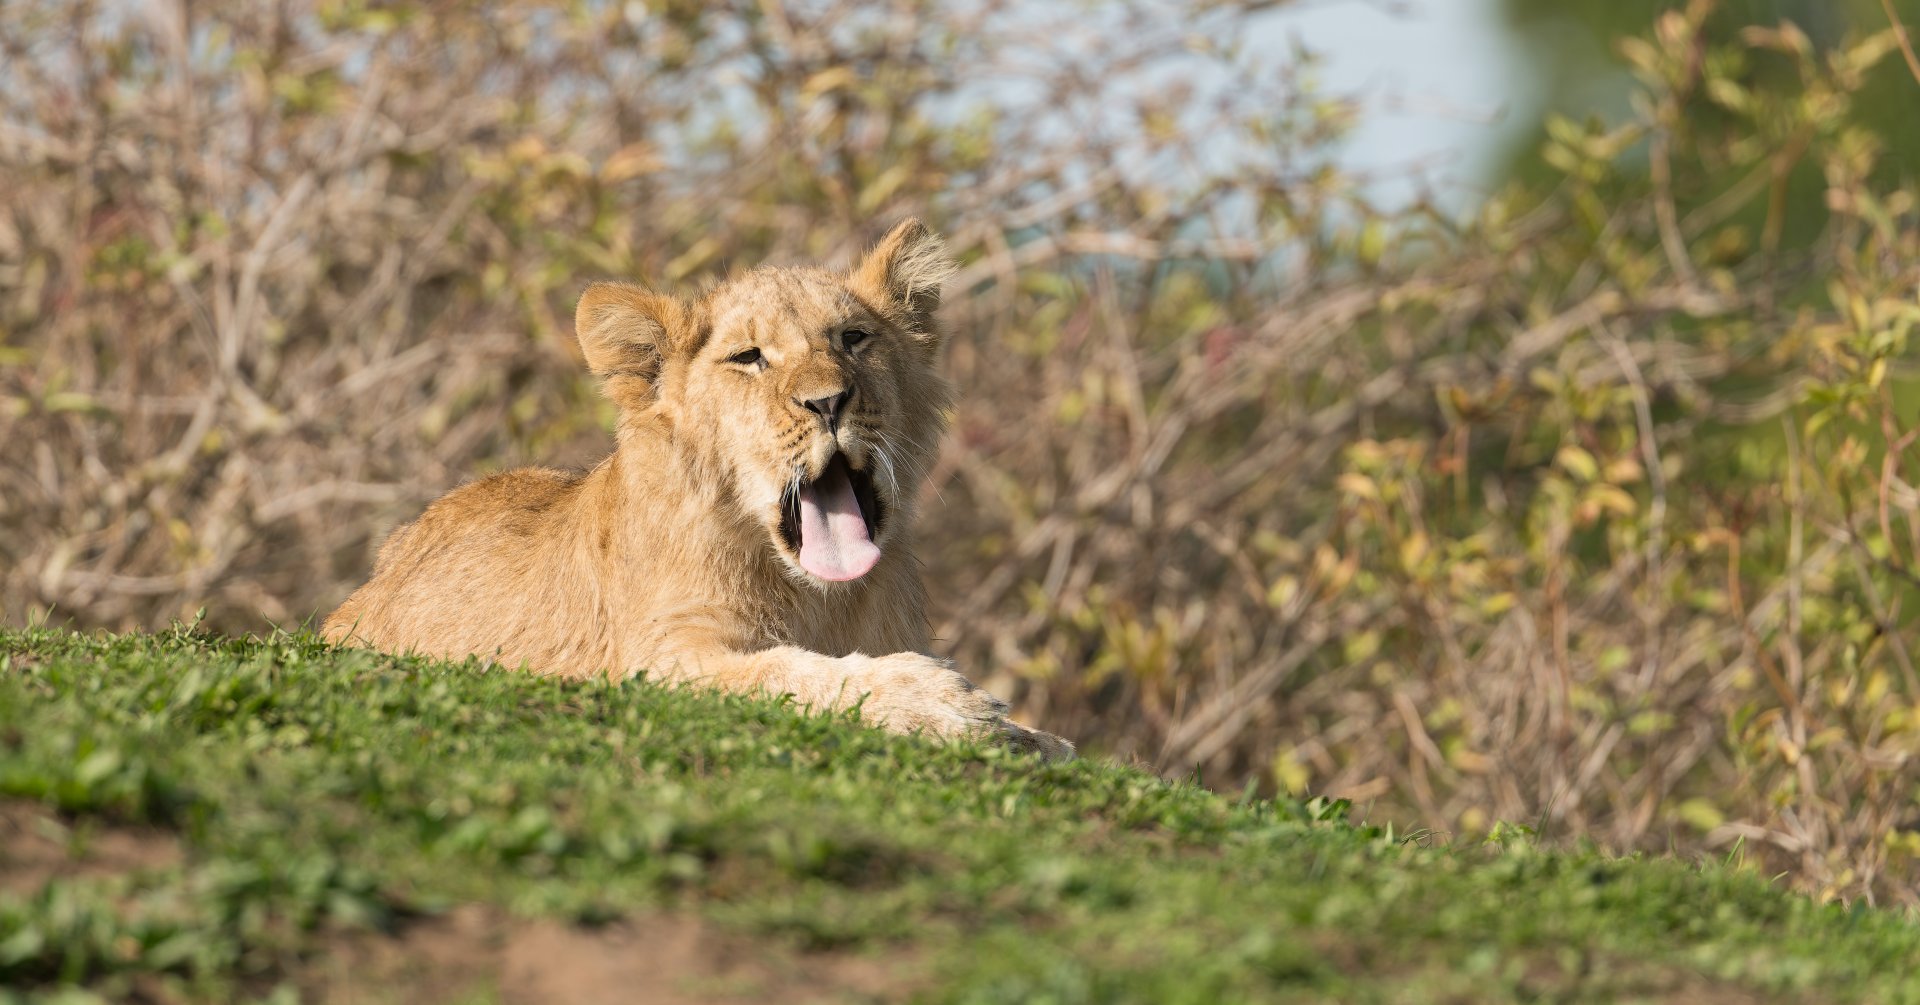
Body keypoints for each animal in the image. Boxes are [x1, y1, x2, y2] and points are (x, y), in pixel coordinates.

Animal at [323, 220, 1072, 758]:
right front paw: (943, 703)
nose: (828, 401)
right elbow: (791, 673)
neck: (819, 601)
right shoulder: (660, 660)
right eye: (749, 358)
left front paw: (1031, 735)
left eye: (854, 339)